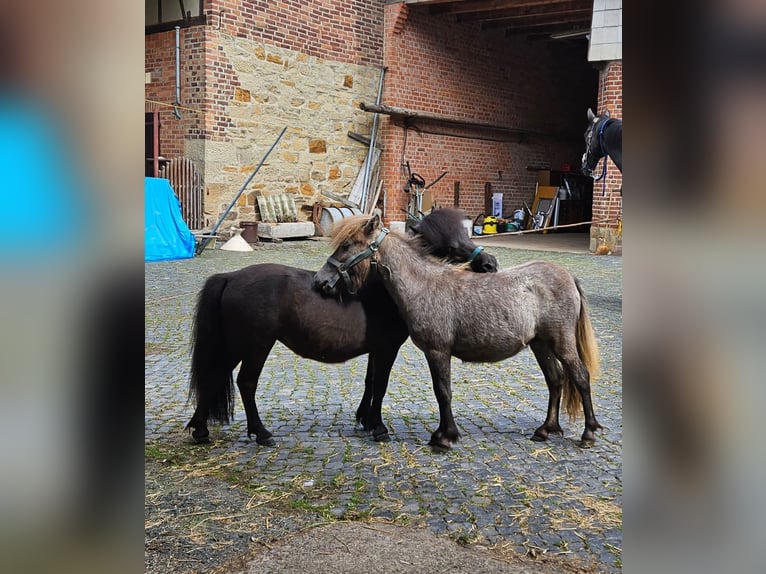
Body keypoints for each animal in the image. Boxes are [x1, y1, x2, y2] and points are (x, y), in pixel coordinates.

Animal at [185, 207, 498, 446]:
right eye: (451, 247)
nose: (490, 264)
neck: (385, 291)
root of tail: (231, 276)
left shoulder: (376, 349)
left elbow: (370, 383)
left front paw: (366, 420)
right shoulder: (388, 349)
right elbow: (381, 385)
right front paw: (379, 428)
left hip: (236, 346)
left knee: (214, 376)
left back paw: (200, 429)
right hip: (255, 346)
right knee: (245, 383)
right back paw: (261, 433)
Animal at [316, 215, 604, 450]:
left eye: (347, 245)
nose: (321, 280)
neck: (423, 285)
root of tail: (568, 276)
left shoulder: (438, 351)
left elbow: (443, 392)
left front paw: (445, 437)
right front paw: (441, 434)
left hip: (561, 343)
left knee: (580, 377)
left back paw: (588, 433)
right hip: (541, 344)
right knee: (555, 380)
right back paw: (545, 430)